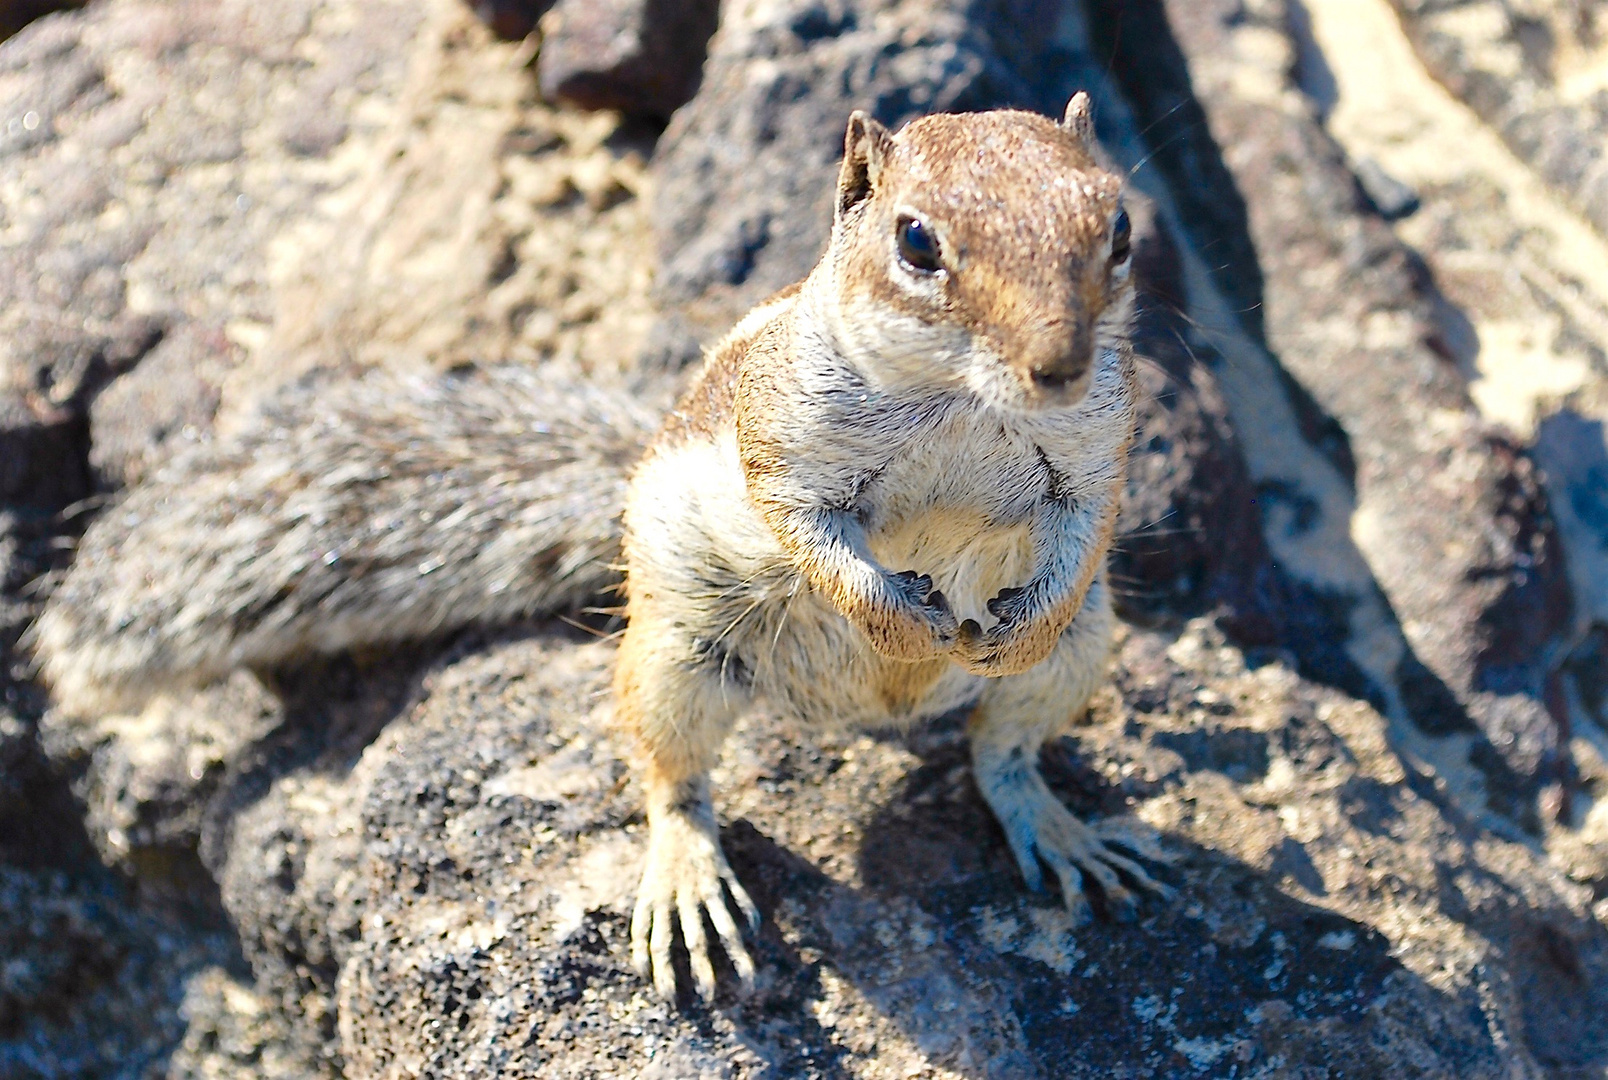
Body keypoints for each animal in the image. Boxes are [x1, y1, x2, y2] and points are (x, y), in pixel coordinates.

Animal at [31, 92, 1170, 1002]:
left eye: (1119, 226)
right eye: (918, 242)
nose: (1059, 365)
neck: (962, 408)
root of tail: (863, 720)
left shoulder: (1100, 448)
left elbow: (1086, 529)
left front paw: (1012, 624)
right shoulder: (784, 445)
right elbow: (812, 540)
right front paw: (895, 617)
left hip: (1086, 654)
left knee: (1002, 755)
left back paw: (1062, 830)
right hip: (677, 653)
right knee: (671, 778)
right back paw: (687, 881)